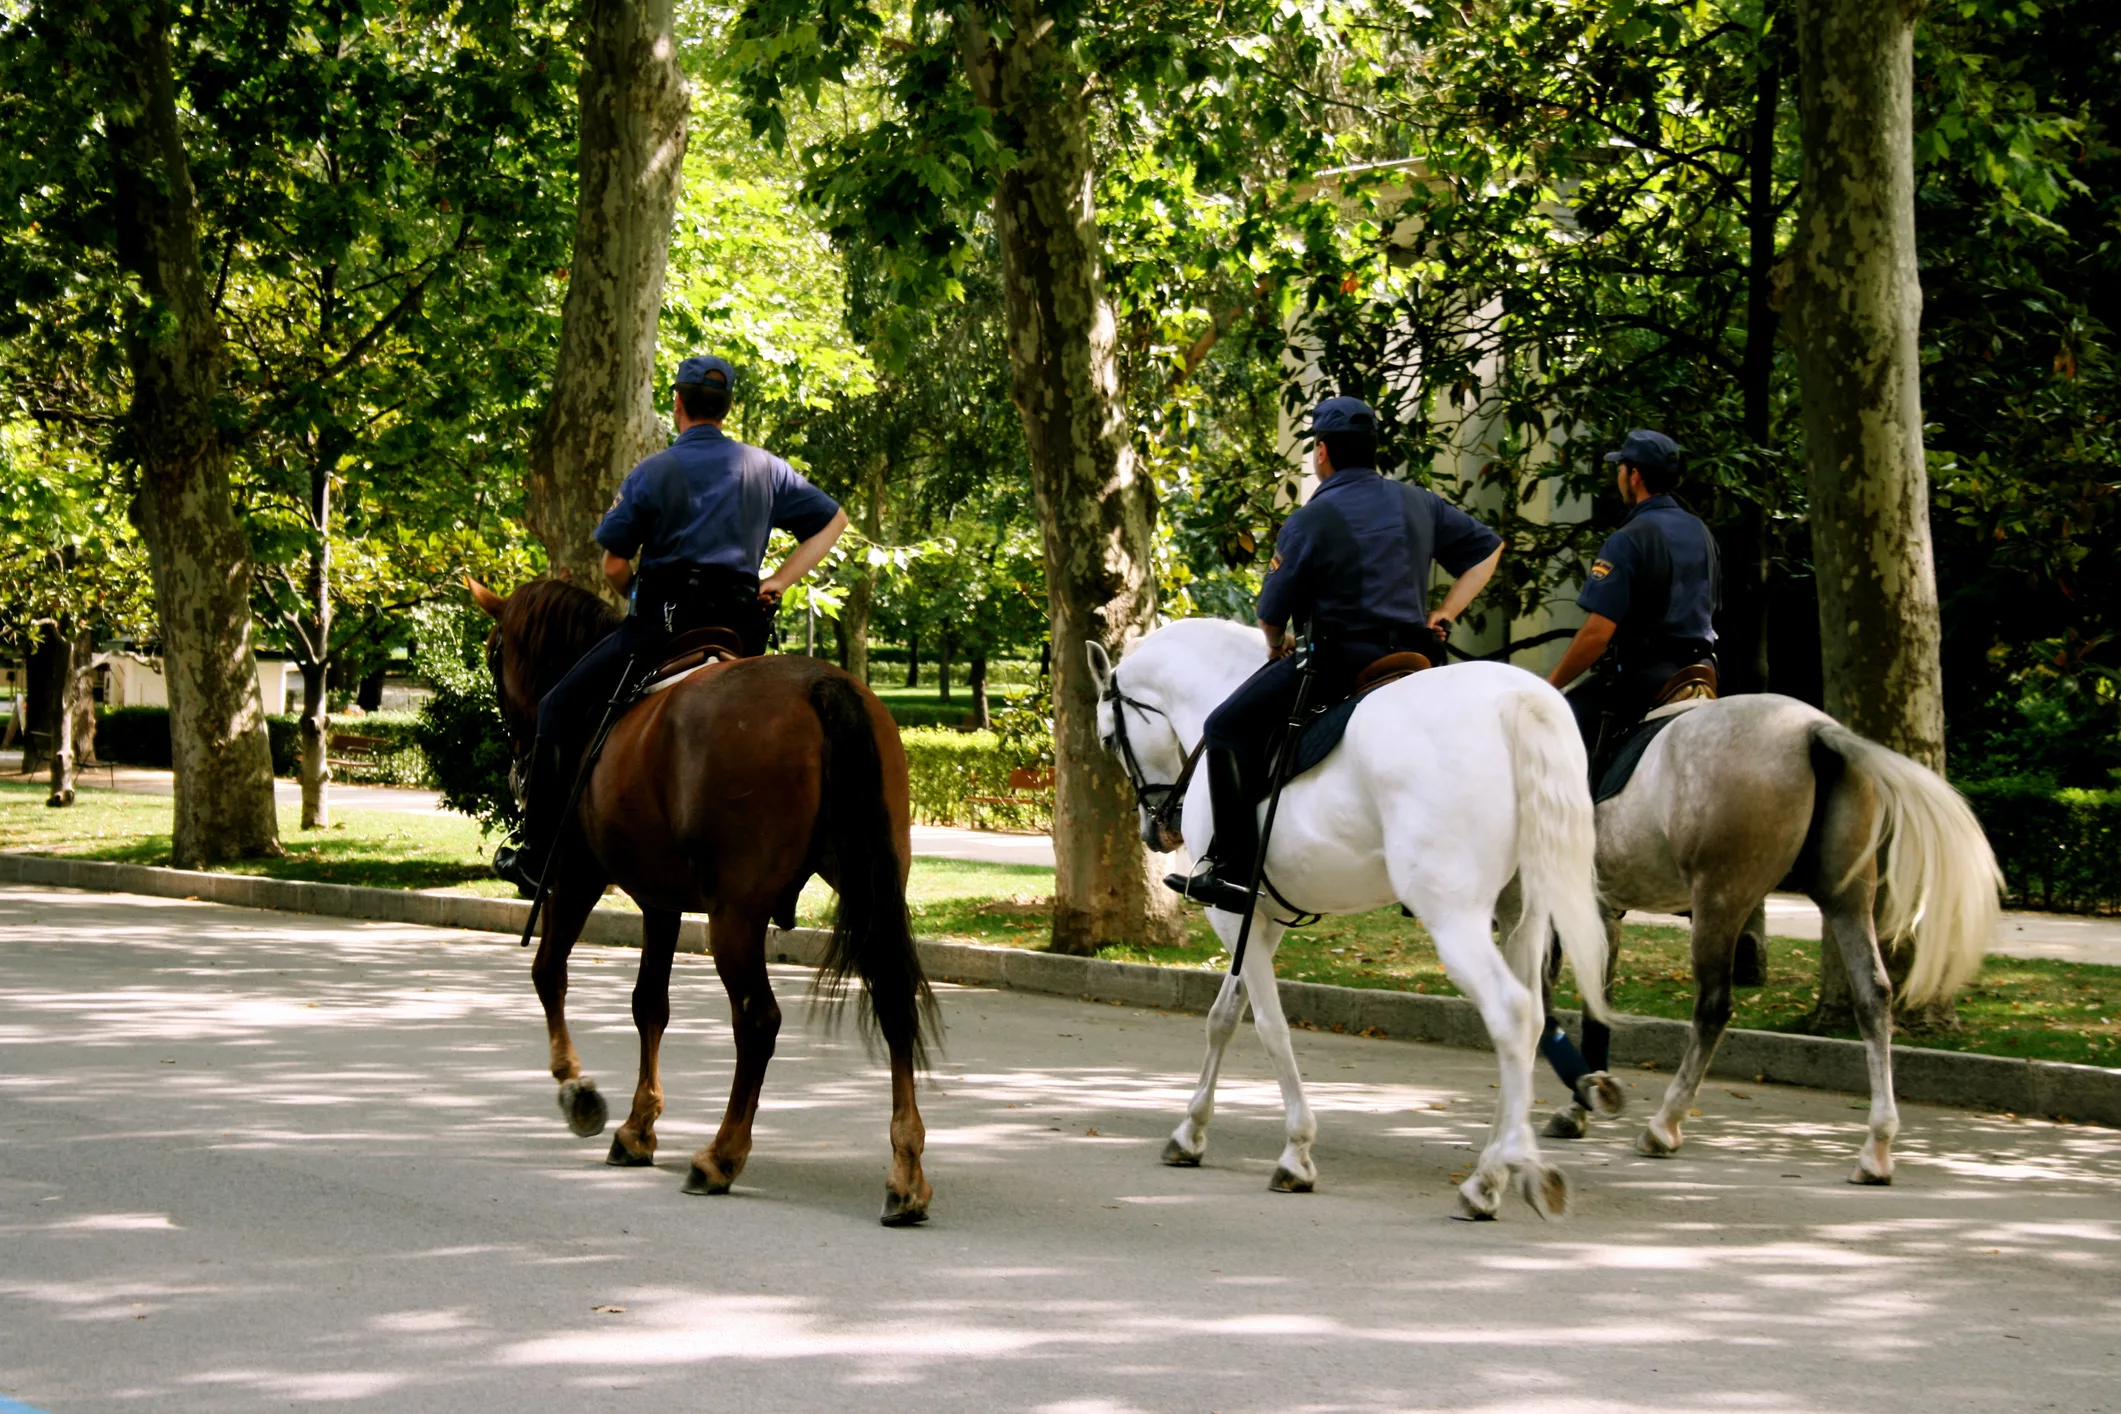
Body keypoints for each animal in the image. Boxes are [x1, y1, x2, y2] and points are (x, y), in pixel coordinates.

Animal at [472, 576, 937, 1229]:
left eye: (494, 655)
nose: (516, 753)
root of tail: (823, 685)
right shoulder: (660, 901)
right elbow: (650, 1005)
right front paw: (637, 1128)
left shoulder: (579, 875)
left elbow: (549, 972)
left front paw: (578, 1090)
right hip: (869, 886)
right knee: (895, 1002)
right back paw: (906, 1175)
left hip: (734, 914)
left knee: (758, 1019)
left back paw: (721, 1156)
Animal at [1094, 614, 1603, 1221]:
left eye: (1107, 739)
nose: (1156, 831)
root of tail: (1516, 699)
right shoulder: (1261, 918)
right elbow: (1224, 1017)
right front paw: (1190, 1133)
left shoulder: (1230, 913)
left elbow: (1270, 1027)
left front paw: (1295, 1153)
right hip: (1522, 916)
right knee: (1530, 1025)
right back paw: (1500, 1166)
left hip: (1454, 916)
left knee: (1512, 1013)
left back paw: (1489, 1179)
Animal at [1544, 695, 2002, 1187]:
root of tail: (1811, 729)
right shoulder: (1599, 912)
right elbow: (1594, 1005)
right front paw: (1584, 1098)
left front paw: (1582, 1094)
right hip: (1847, 897)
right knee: (1873, 996)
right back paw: (1876, 1151)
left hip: (1720, 897)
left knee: (1713, 1007)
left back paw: (1665, 1125)